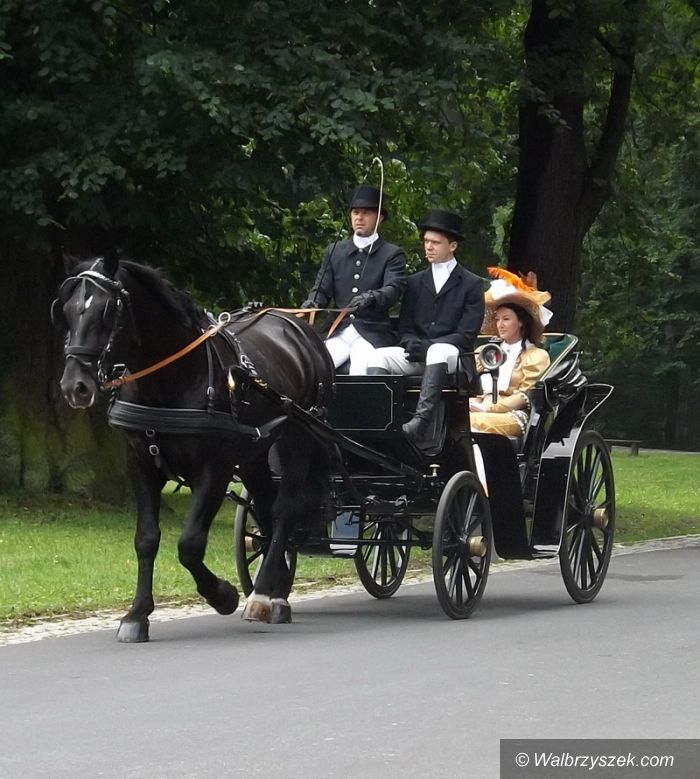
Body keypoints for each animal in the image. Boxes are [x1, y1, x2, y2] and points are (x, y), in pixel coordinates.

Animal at [52, 252, 334, 642]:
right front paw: (137, 615)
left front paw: (223, 595)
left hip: (298, 439)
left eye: (108, 310)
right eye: (65, 308)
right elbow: (146, 539)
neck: (173, 379)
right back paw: (275, 589)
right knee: (265, 508)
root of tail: (299, 328)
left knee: (284, 510)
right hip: (255, 453)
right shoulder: (141, 466)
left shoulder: (214, 471)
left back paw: (264, 597)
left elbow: (189, 545)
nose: (74, 387)